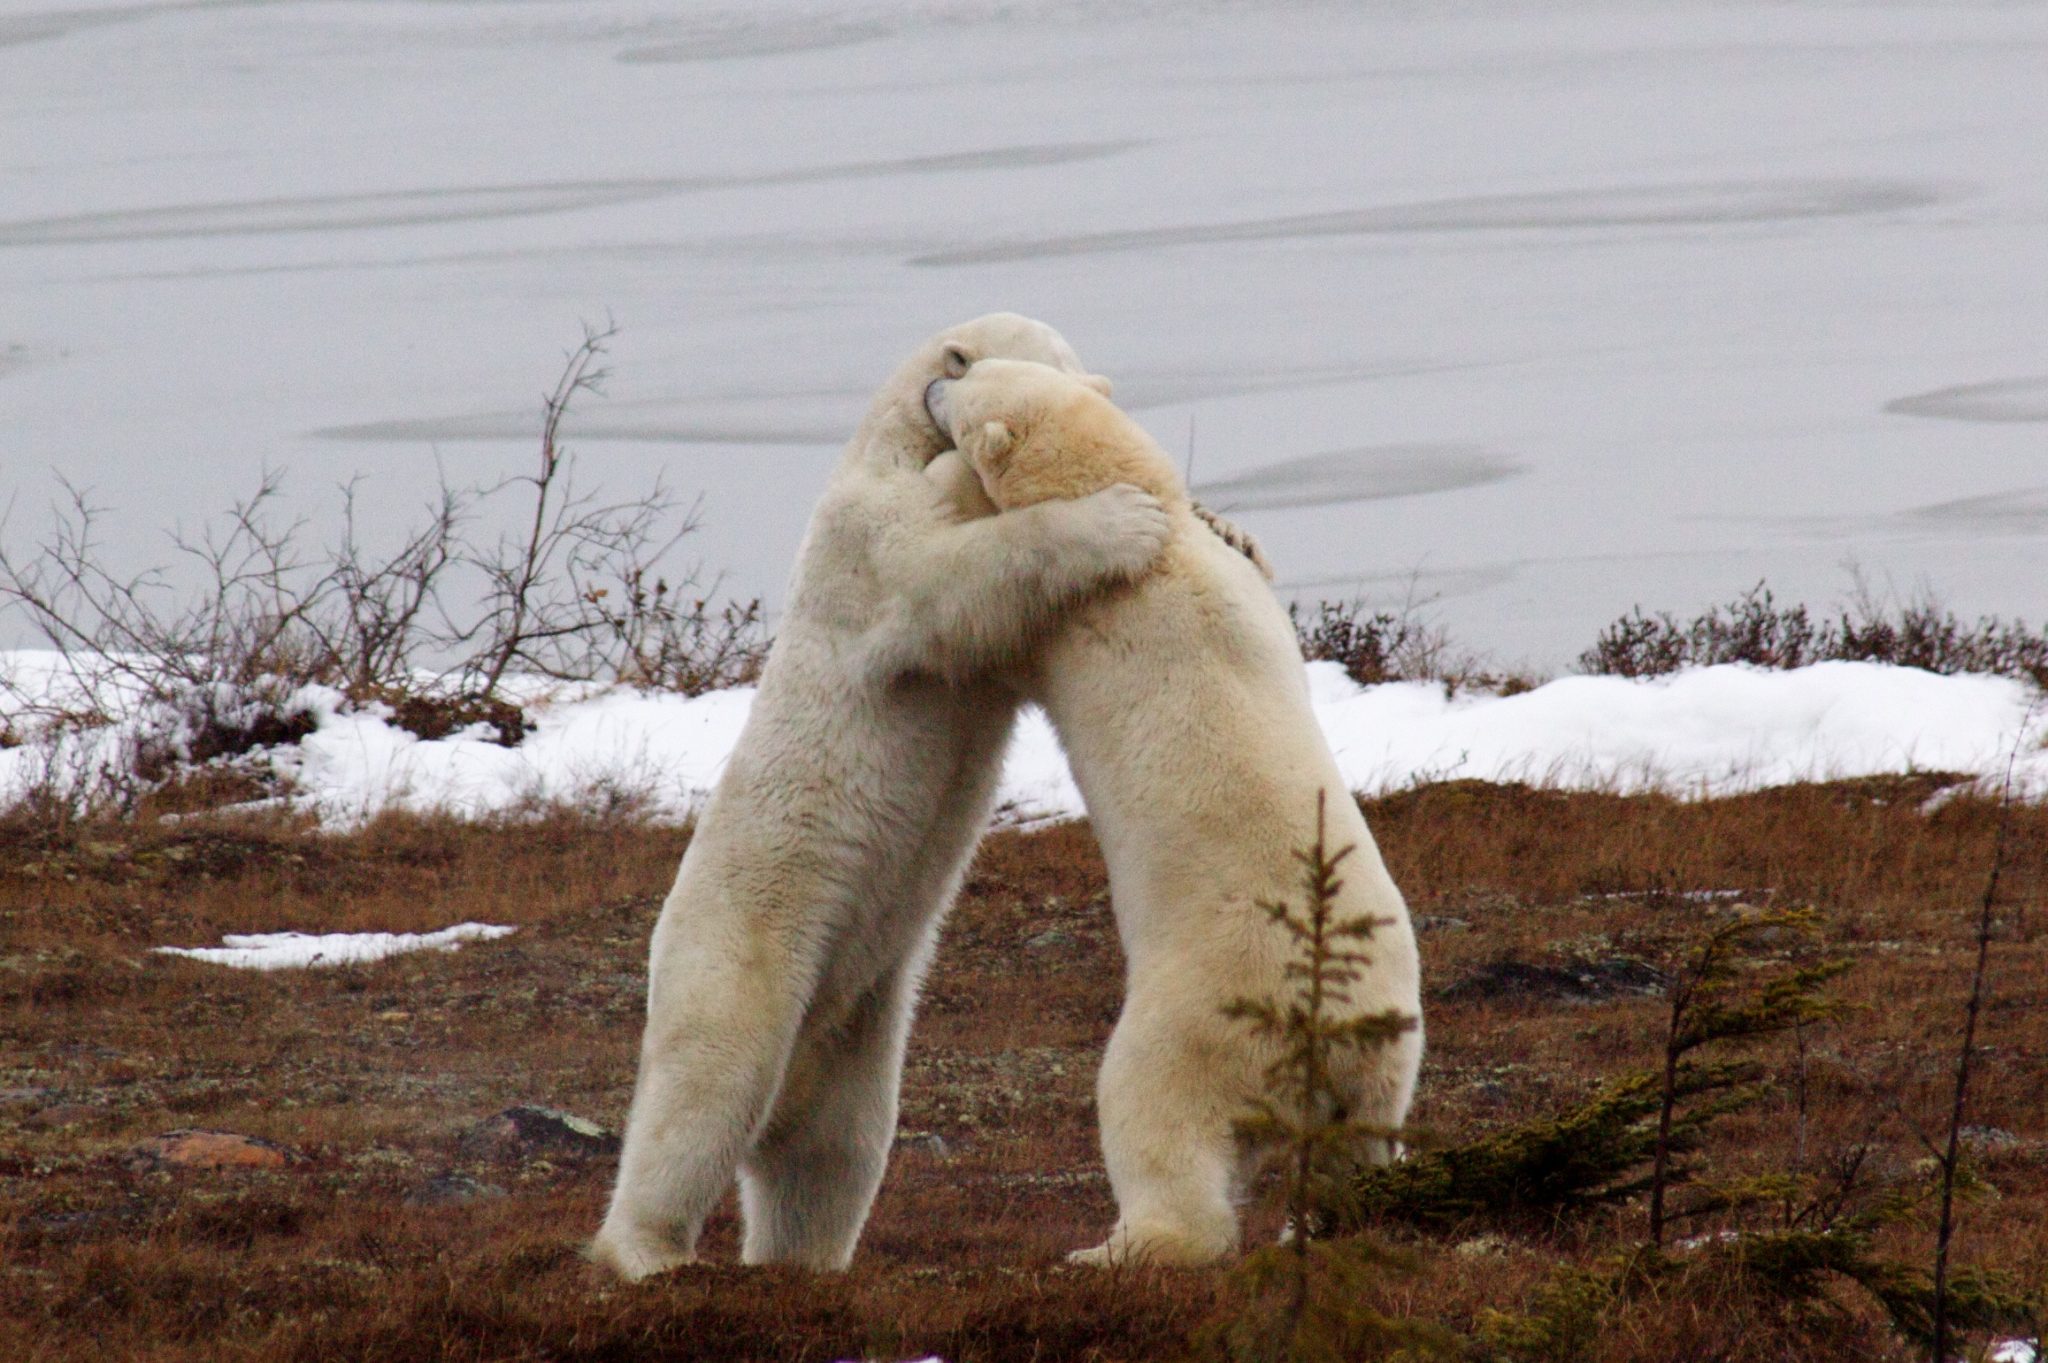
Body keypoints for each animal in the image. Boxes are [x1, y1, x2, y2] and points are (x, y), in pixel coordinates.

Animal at [585, 315, 1179, 1277]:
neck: (897, 442)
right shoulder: (863, 538)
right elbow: (943, 576)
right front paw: (1125, 519)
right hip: (740, 947)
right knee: (702, 1093)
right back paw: (648, 1251)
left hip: (860, 1031)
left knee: (833, 1154)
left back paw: (804, 1255)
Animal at [929, 358, 1425, 1260]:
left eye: (968, 382)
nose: (935, 381)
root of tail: (1319, 1019)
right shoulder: (1237, 597)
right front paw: (1234, 527)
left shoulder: (1070, 625)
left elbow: (999, 620)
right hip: (1385, 1049)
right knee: (1362, 1143)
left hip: (1194, 1021)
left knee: (1152, 1118)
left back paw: (1114, 1248)